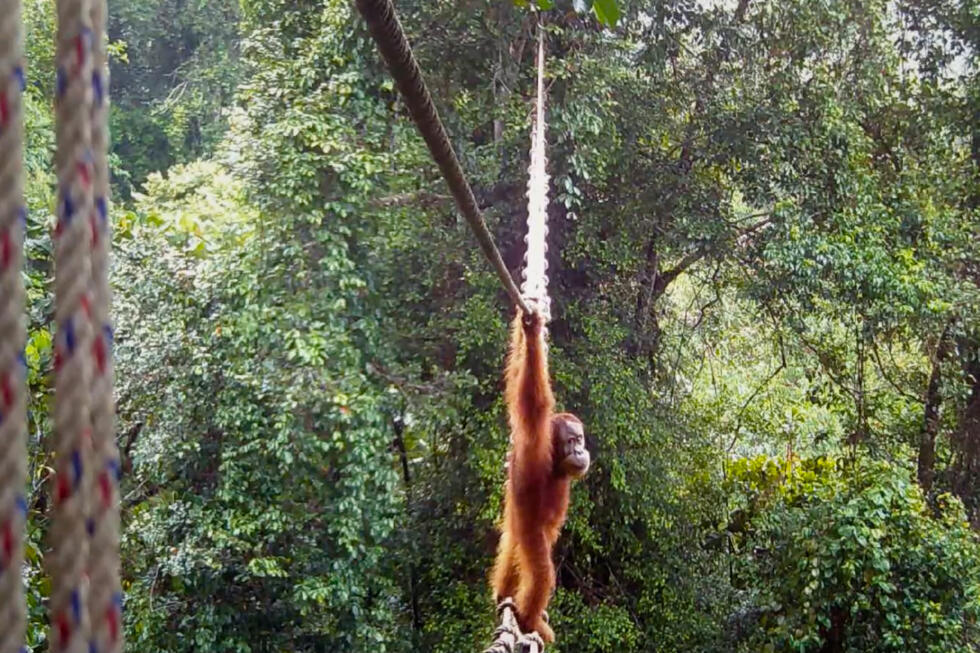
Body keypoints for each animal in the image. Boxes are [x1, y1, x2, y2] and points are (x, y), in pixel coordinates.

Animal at [491, 309, 590, 643]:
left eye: (580, 439)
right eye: (571, 441)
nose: (580, 451)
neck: (556, 463)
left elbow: (516, 380)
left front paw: (526, 330)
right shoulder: (536, 440)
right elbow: (533, 398)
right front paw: (532, 332)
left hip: (515, 528)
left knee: (510, 550)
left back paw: (504, 597)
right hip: (528, 532)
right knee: (541, 571)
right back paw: (529, 618)